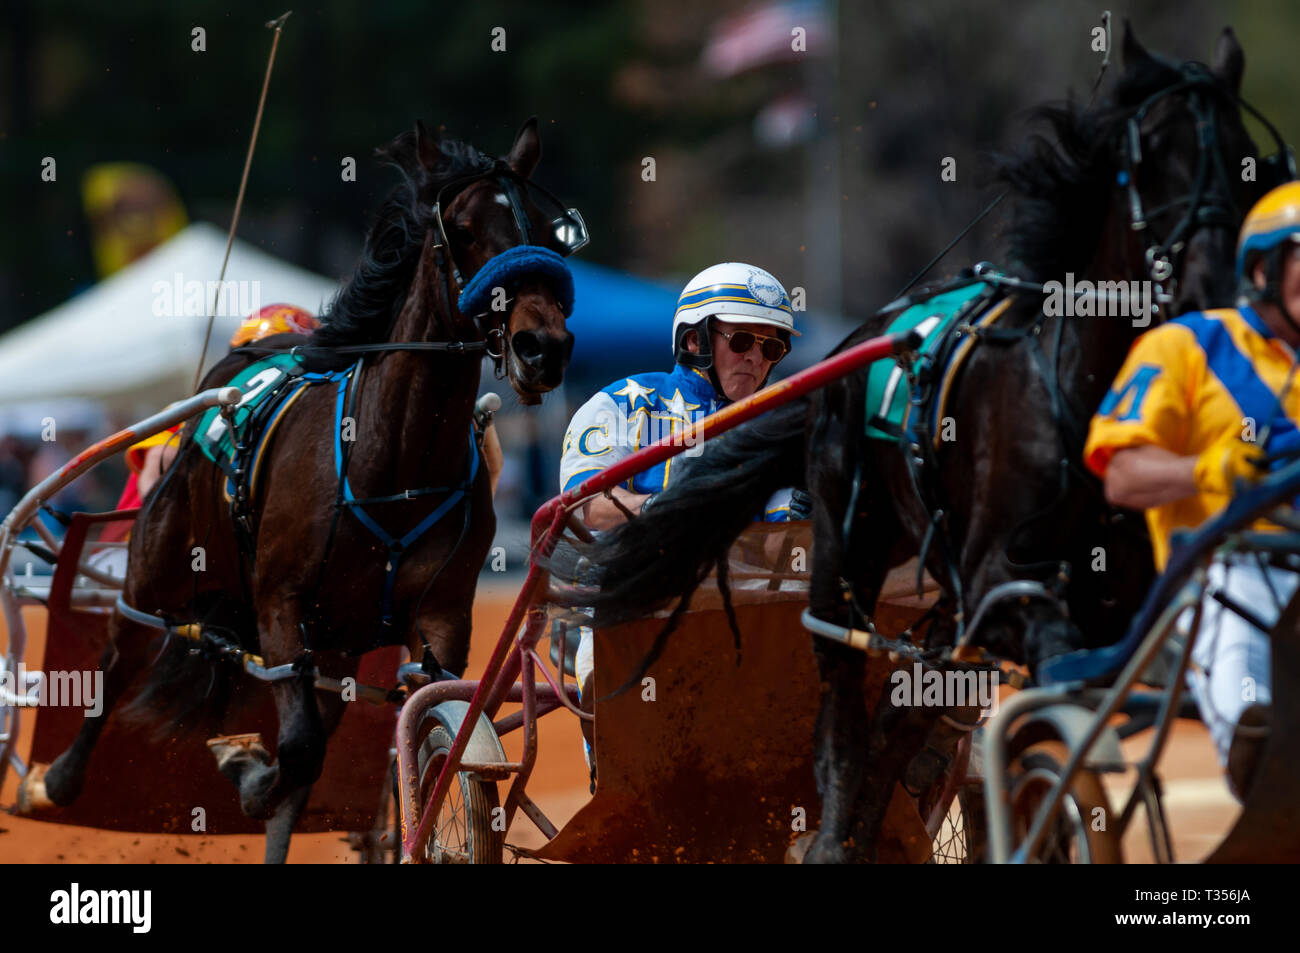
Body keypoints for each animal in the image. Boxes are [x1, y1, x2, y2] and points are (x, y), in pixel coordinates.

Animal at [16, 118, 579, 863]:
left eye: (546, 231)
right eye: (462, 228)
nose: (542, 345)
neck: (392, 464)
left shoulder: (442, 614)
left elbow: (437, 722)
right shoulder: (281, 606)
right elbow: (301, 746)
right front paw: (246, 770)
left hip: (338, 639)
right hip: (159, 568)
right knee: (119, 656)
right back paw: (56, 778)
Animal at [564, 27, 1284, 863]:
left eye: (1246, 157)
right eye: (1150, 156)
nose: (1216, 282)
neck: (1075, 390)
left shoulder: (1117, 597)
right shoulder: (1009, 587)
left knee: (900, 721)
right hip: (847, 559)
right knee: (844, 711)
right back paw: (834, 836)